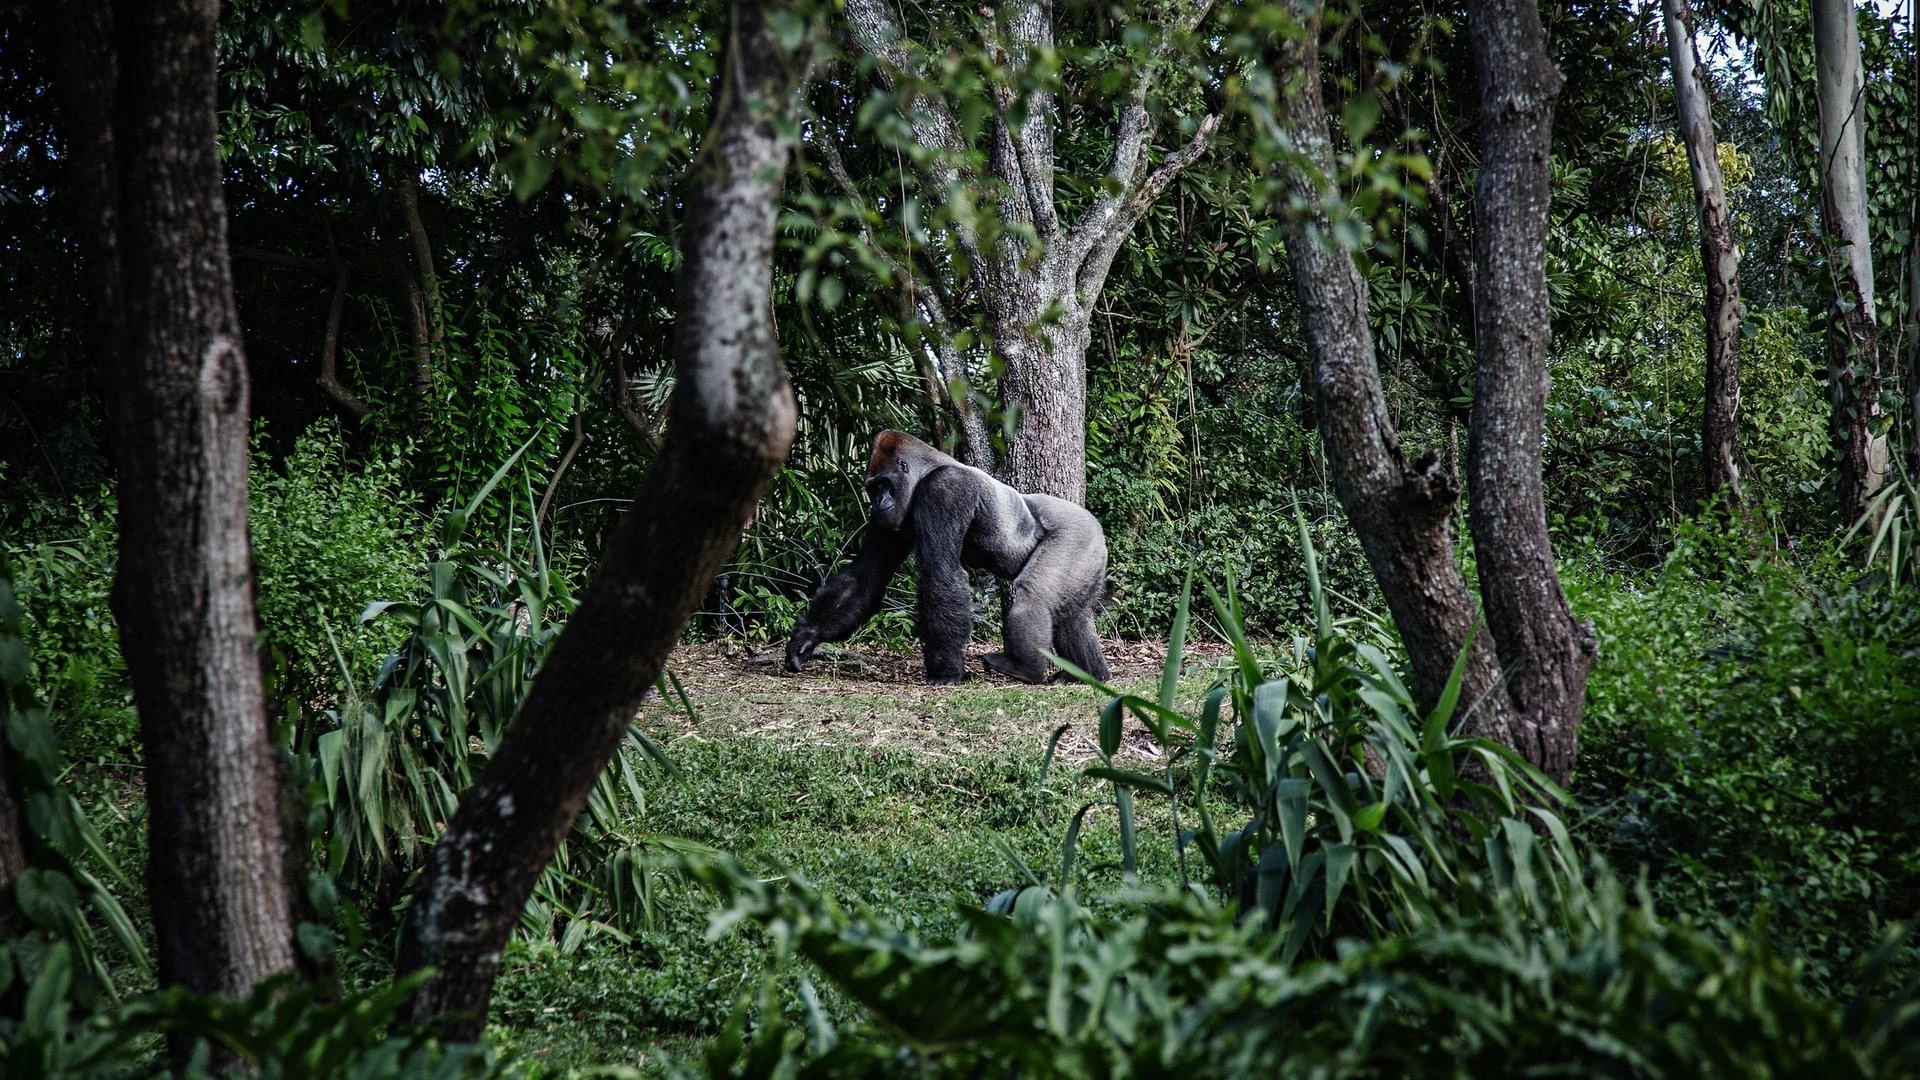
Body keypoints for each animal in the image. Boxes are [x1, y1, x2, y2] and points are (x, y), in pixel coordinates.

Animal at [779, 428, 1113, 680]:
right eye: (873, 489)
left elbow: (940, 572)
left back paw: (1025, 669)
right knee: (1072, 615)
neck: (928, 469)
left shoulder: (945, 490)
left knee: (1034, 596)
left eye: (885, 484)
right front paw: (807, 636)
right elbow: (866, 576)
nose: (878, 503)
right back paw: (1087, 673)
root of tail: (1096, 524)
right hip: (1089, 552)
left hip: (1077, 533)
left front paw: (946, 671)